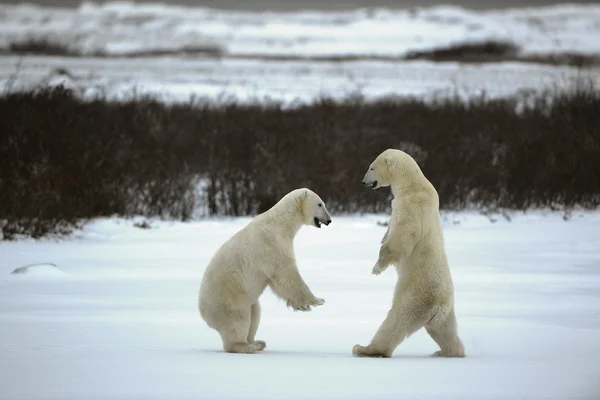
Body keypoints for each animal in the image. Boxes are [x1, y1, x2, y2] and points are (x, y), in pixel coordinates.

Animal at [199, 188, 330, 354]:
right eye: (320, 204)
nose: (329, 220)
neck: (280, 224)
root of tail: (203, 312)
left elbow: (278, 283)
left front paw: (301, 306)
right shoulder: (272, 246)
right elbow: (287, 275)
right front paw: (317, 300)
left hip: (244, 299)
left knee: (255, 314)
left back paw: (258, 342)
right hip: (227, 298)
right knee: (238, 320)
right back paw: (247, 346)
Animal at [352, 148, 464, 358]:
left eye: (371, 167)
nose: (363, 182)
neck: (412, 185)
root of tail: (440, 306)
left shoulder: (411, 206)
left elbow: (400, 239)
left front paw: (377, 268)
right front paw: (382, 237)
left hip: (414, 296)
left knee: (396, 321)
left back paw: (365, 349)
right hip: (446, 313)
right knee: (445, 331)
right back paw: (447, 352)